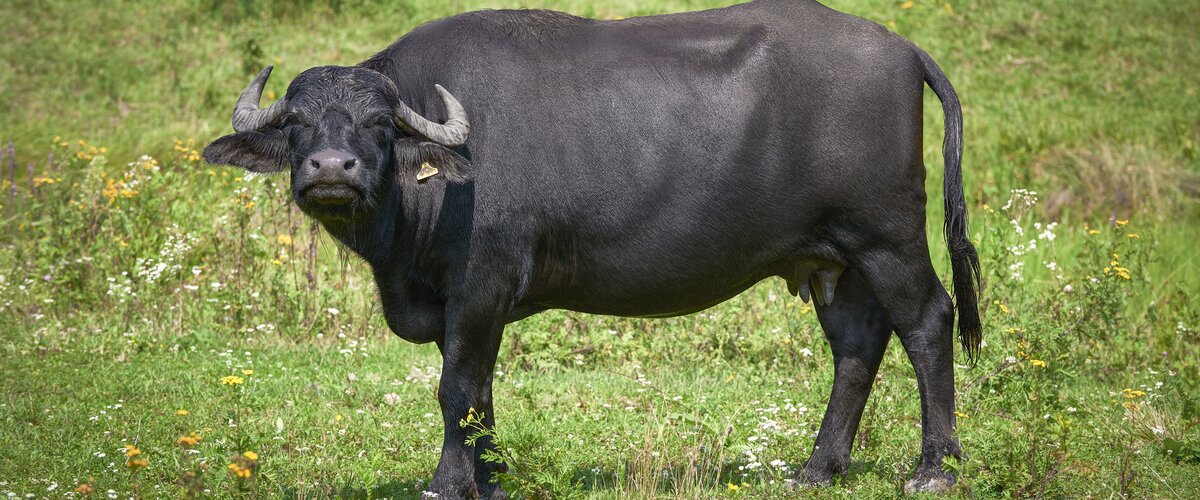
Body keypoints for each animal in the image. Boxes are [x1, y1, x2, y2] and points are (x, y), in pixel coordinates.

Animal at [201, 0, 979, 494]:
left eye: (377, 124)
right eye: (297, 122)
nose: (332, 170)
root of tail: (901, 48)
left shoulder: (478, 285)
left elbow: (457, 389)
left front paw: (447, 483)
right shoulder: (471, 306)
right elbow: (482, 393)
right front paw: (491, 479)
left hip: (887, 237)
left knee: (927, 322)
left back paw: (935, 468)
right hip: (834, 258)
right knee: (858, 345)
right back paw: (818, 468)